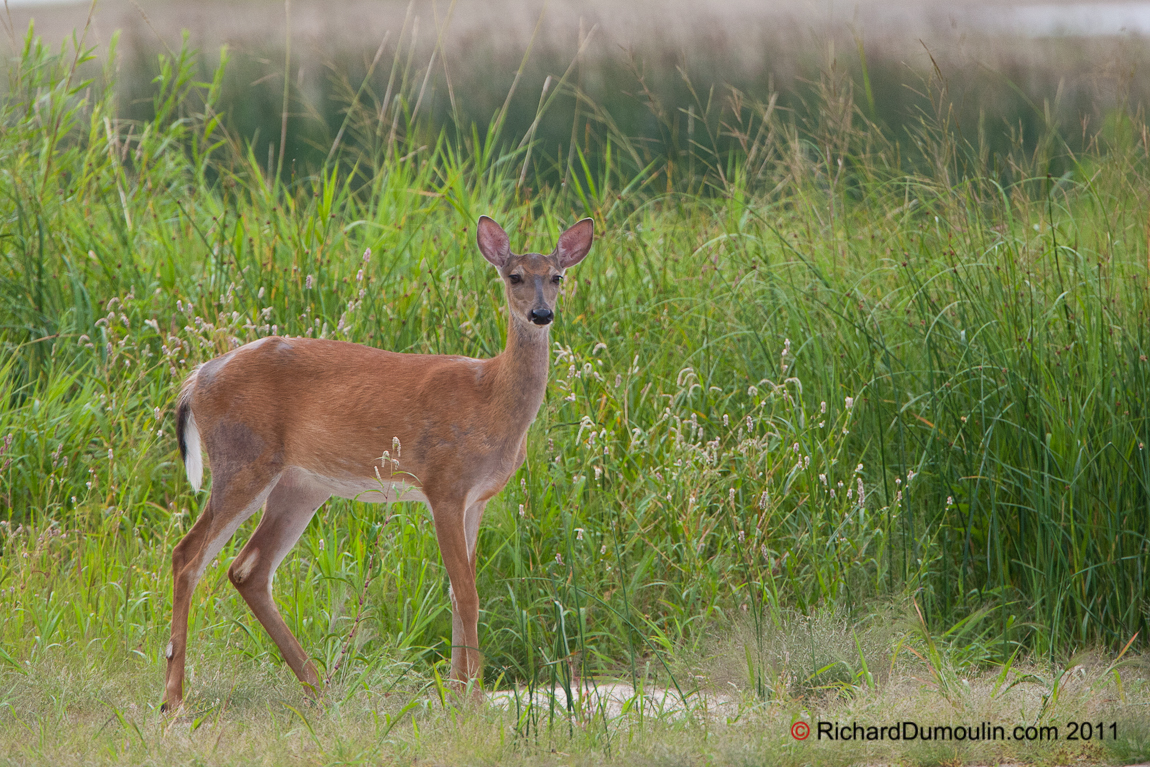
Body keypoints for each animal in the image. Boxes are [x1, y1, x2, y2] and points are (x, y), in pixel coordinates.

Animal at [162, 212, 593, 712]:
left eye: (557, 277)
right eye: (515, 276)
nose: (541, 314)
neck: (491, 399)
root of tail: (196, 379)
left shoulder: (477, 499)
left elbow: (458, 591)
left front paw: (461, 690)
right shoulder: (443, 485)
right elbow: (466, 593)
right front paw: (468, 699)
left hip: (300, 485)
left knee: (248, 568)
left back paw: (319, 687)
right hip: (243, 461)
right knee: (188, 556)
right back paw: (173, 698)